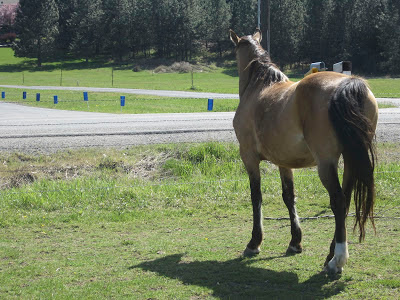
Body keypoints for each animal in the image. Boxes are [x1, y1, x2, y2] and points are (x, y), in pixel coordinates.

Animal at [230, 29, 376, 276]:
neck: (258, 88)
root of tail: (348, 84)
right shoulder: (284, 161)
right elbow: (289, 196)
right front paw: (295, 242)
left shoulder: (249, 158)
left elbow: (256, 197)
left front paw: (254, 243)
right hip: (349, 160)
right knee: (345, 200)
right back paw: (329, 257)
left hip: (326, 164)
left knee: (338, 201)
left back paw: (337, 261)